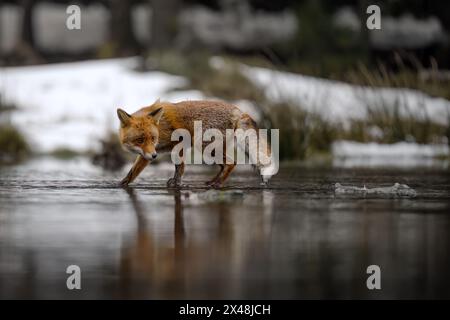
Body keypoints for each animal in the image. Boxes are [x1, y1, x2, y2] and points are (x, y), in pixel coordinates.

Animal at [117, 100, 270, 188]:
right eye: (140, 140)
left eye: (153, 138)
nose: (154, 157)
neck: (161, 128)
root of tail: (237, 110)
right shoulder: (148, 153)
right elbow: (132, 172)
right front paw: (121, 184)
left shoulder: (178, 142)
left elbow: (179, 167)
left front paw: (177, 183)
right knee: (224, 165)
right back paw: (212, 181)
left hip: (203, 146)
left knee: (232, 163)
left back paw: (218, 184)